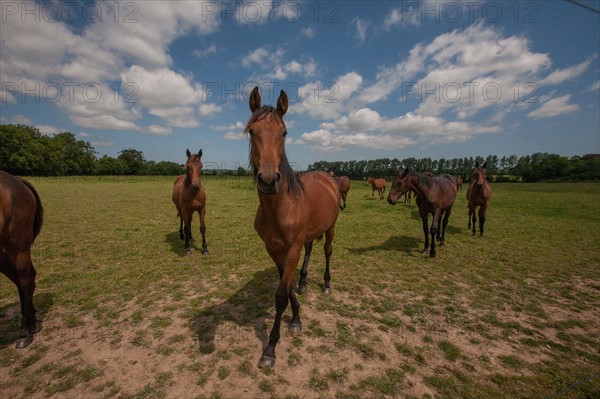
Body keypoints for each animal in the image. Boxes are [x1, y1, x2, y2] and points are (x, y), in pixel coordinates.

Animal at [243, 86, 338, 368]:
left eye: (284, 132)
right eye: (252, 131)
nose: (268, 180)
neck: (281, 207)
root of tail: (327, 177)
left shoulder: (291, 248)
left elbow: (281, 295)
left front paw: (270, 348)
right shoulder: (274, 249)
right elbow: (284, 287)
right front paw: (296, 317)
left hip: (331, 228)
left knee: (327, 251)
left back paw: (326, 284)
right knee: (310, 250)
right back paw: (304, 281)